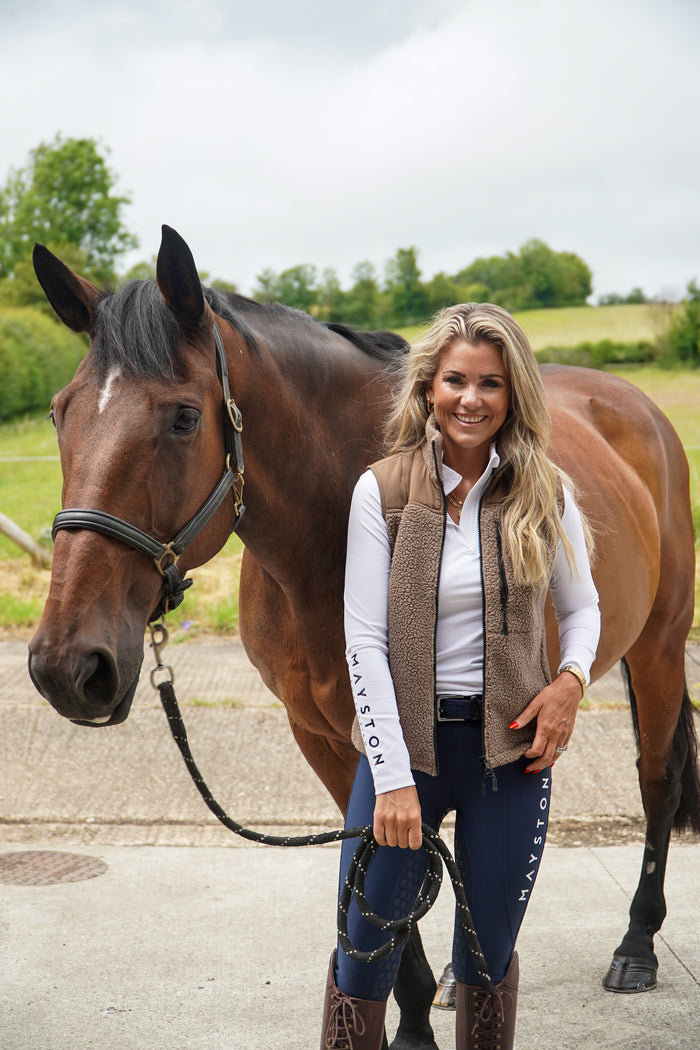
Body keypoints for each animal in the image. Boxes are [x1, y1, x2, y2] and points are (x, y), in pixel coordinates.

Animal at [28, 228, 699, 1048]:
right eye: (59, 414)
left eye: (183, 417)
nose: (67, 666)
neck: (330, 536)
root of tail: (634, 406)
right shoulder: (327, 737)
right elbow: (386, 870)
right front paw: (411, 1018)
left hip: (658, 646)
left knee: (658, 779)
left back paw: (638, 944)